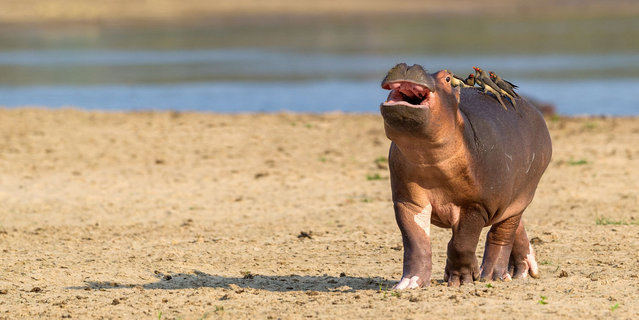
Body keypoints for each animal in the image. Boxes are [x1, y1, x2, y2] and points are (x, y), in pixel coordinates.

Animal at [382, 62, 552, 288]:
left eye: (447, 78)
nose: (409, 66)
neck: (427, 156)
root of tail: (533, 109)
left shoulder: (475, 205)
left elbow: (461, 243)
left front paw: (461, 280)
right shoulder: (408, 202)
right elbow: (416, 242)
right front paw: (409, 283)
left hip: (521, 197)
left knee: (502, 234)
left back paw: (492, 275)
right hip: (505, 199)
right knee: (514, 227)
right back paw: (520, 270)